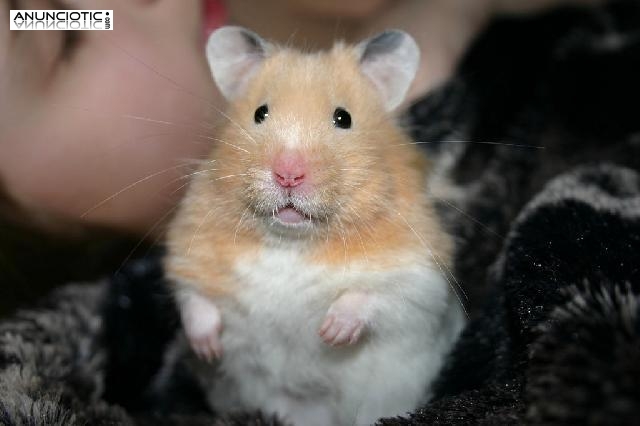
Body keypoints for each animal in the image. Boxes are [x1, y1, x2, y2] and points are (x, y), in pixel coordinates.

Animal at [164, 26, 465, 426]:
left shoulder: (420, 275)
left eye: (343, 118)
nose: (288, 174)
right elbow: (193, 297)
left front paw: (331, 333)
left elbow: (375, 296)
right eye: (260, 113)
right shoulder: (189, 250)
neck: (292, 242)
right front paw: (208, 349)